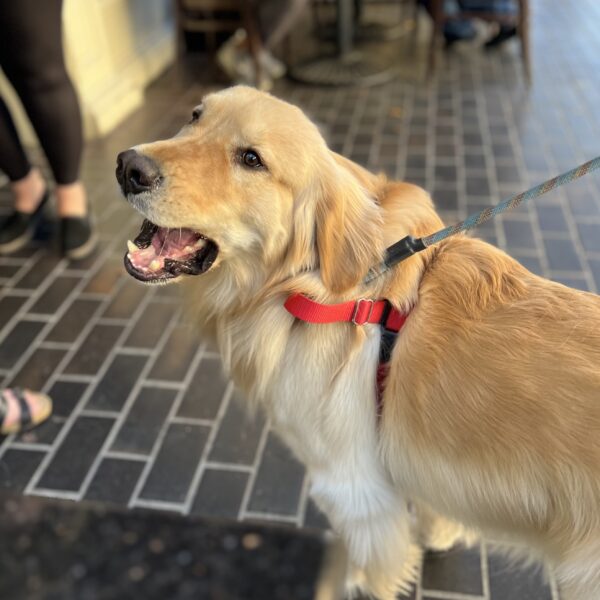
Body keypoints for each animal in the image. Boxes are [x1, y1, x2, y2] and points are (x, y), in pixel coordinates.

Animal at [116, 85, 600, 600]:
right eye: (195, 116)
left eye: (251, 159)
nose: (129, 166)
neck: (305, 289)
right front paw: (441, 531)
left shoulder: (352, 489)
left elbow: (371, 569)